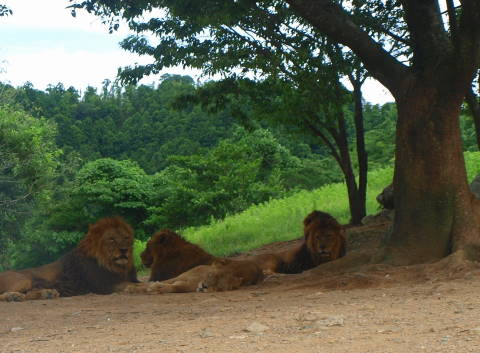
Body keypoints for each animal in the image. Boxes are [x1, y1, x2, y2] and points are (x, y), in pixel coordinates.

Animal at [0, 216, 139, 302]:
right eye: (111, 239)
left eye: (126, 237)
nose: (124, 250)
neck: (116, 266)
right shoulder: (104, 285)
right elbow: (134, 285)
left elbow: (136, 283)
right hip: (24, 280)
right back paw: (13, 296)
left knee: (28, 294)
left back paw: (47, 294)